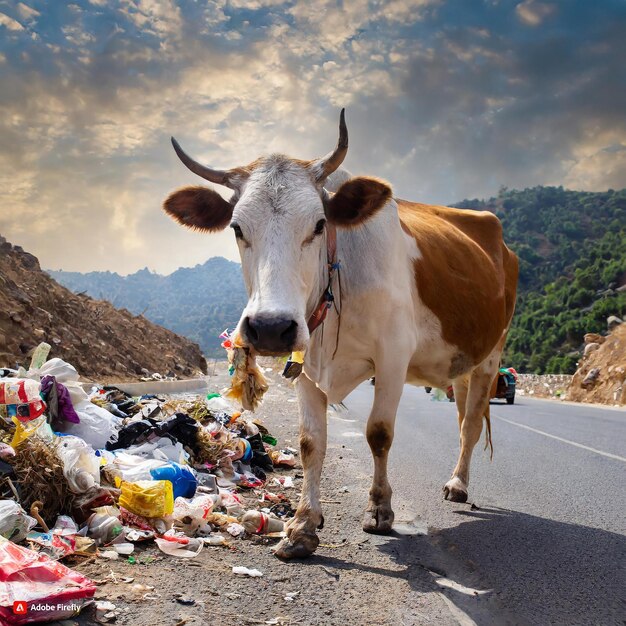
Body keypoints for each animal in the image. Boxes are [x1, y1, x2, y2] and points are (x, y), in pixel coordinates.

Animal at [161, 109, 516, 560]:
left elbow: (379, 434)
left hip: (491, 355)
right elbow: (311, 443)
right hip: (462, 363)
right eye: (237, 228)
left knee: (470, 424)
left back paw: (457, 484)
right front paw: (302, 526)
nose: (271, 327)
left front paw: (380, 510)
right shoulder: (303, 364)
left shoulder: (393, 358)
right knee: (462, 416)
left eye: (319, 223)